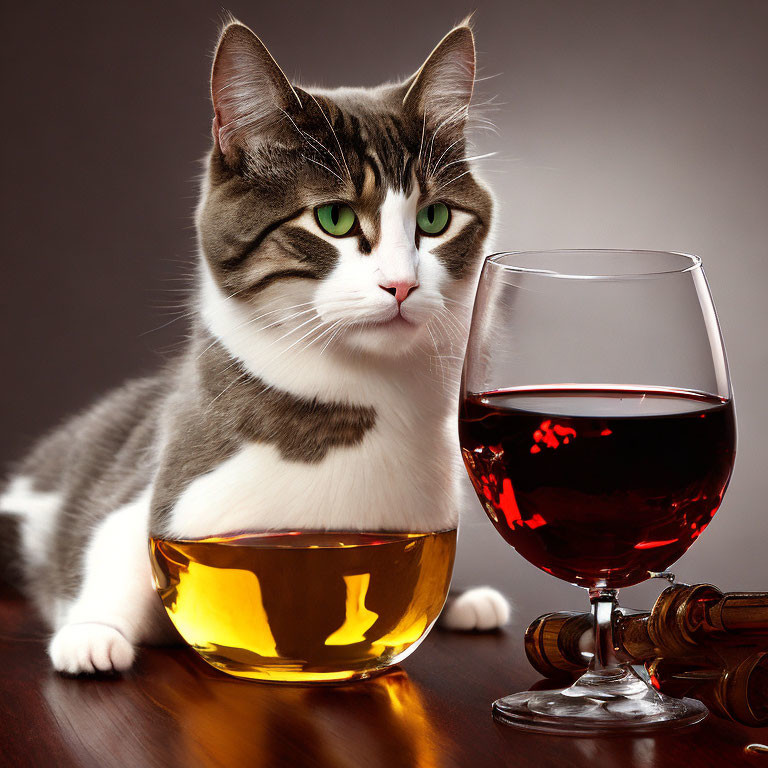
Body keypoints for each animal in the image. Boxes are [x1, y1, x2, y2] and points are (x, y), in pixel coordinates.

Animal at [0, 13, 510, 672]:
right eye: (335, 219)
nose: (402, 284)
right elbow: (114, 544)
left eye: (435, 219)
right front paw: (91, 632)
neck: (365, 400)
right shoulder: (164, 482)